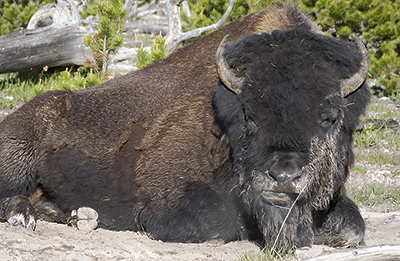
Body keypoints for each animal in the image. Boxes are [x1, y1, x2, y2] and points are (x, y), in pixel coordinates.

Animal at [0, 1, 370, 250]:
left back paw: (77, 215)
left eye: (330, 117)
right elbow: (219, 223)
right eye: (249, 114)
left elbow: (353, 227)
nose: (283, 177)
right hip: (17, 158)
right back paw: (26, 216)